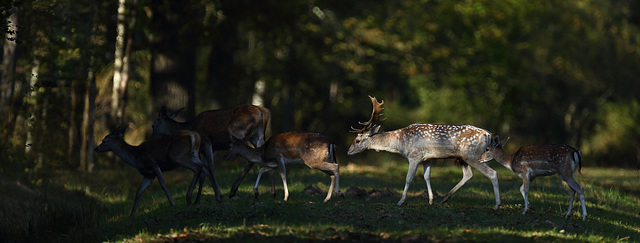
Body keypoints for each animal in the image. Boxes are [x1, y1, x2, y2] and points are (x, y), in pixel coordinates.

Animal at [344, 96, 500, 208]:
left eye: (357, 140)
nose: (348, 152)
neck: (400, 142)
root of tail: (488, 135)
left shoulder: (414, 156)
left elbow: (409, 178)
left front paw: (400, 201)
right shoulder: (428, 159)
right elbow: (426, 177)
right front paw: (430, 200)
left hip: (472, 155)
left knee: (492, 173)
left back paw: (497, 204)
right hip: (464, 157)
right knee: (468, 174)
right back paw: (445, 198)